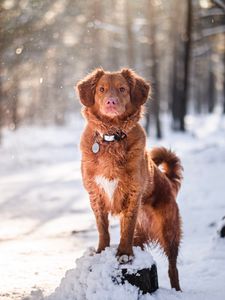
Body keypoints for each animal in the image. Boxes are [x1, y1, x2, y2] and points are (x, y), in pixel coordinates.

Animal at [76, 68, 182, 290]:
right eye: (101, 89)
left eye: (122, 89)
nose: (111, 102)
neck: (111, 136)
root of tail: (168, 183)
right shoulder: (95, 194)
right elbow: (103, 228)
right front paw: (101, 251)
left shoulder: (133, 193)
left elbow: (127, 227)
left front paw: (124, 254)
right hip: (142, 236)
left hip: (169, 231)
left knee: (173, 266)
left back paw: (177, 289)